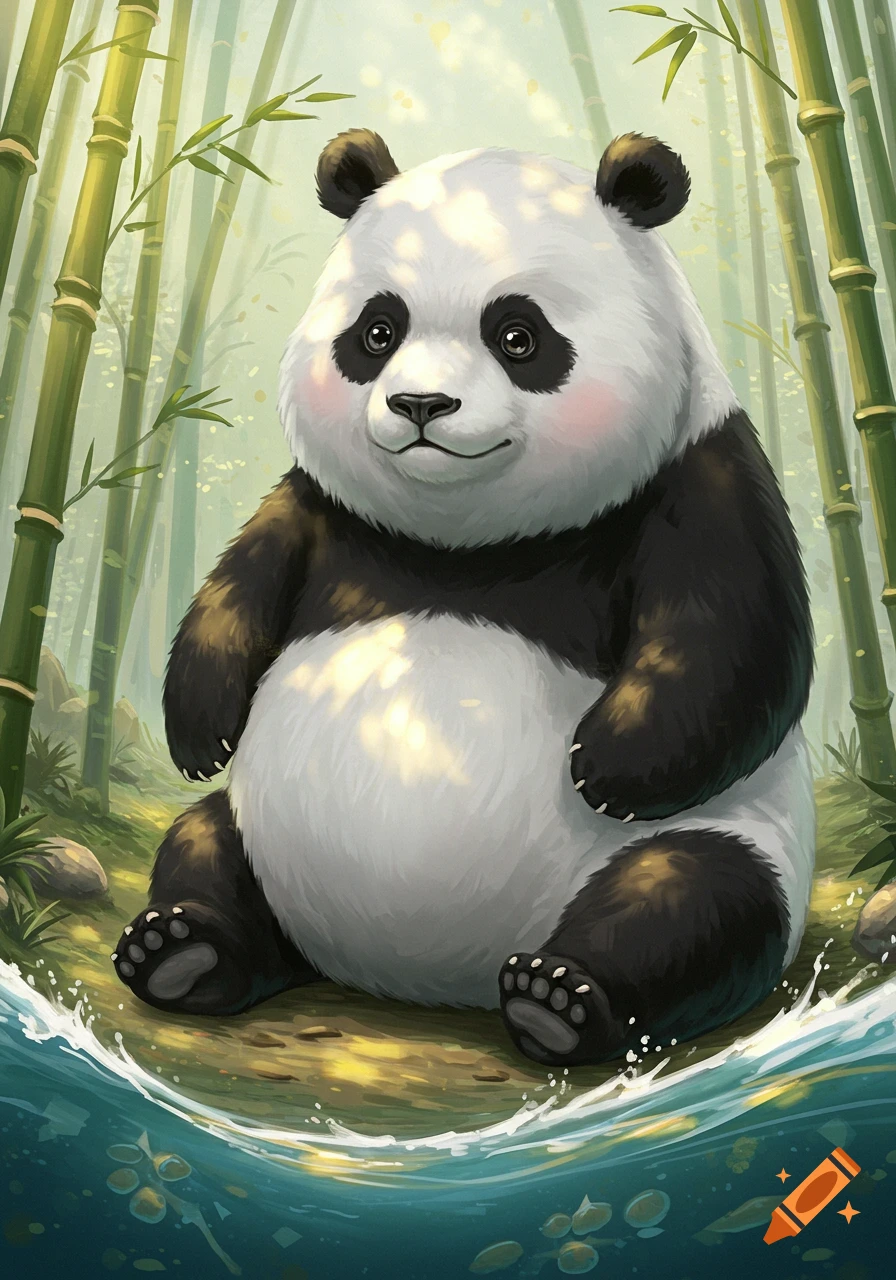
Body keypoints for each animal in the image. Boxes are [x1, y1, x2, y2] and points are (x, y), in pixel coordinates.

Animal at [113, 129, 815, 1068]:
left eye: (518, 335)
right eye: (378, 331)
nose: (421, 403)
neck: (465, 545)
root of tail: (416, 975)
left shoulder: (697, 473)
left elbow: (737, 640)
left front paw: (607, 763)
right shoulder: (324, 505)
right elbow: (241, 581)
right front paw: (199, 727)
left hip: (732, 843)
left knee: (695, 900)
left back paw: (559, 999)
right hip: (261, 833)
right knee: (201, 842)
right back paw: (182, 949)